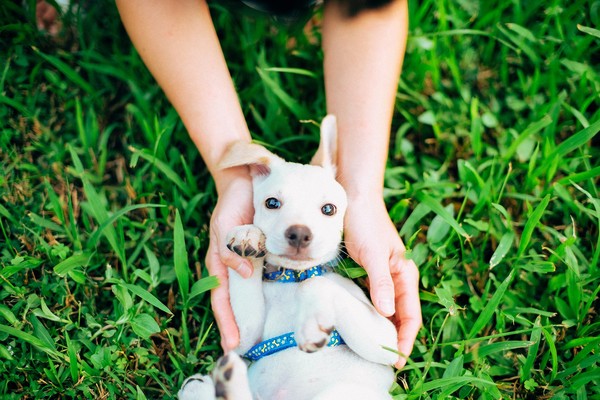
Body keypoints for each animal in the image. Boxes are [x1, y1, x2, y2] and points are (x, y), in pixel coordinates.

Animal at [179, 115, 398, 400]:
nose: (299, 234)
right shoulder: (245, 339)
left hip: (340, 392)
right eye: (272, 203)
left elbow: (314, 283)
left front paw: (312, 322)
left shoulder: (388, 342)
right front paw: (249, 236)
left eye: (329, 209)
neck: (291, 278)